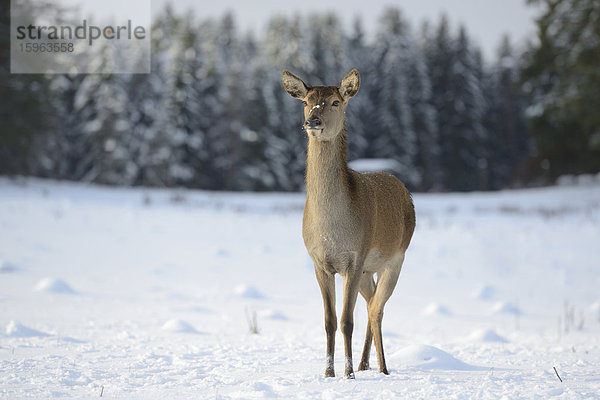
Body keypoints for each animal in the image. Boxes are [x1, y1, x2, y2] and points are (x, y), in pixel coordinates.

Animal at [280, 69, 412, 378]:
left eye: (336, 101)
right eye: (306, 101)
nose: (312, 121)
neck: (331, 231)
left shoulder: (354, 258)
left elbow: (346, 321)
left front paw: (348, 374)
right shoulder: (320, 263)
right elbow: (329, 320)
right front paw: (329, 372)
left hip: (395, 258)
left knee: (376, 309)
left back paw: (382, 368)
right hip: (368, 271)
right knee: (371, 302)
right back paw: (366, 363)